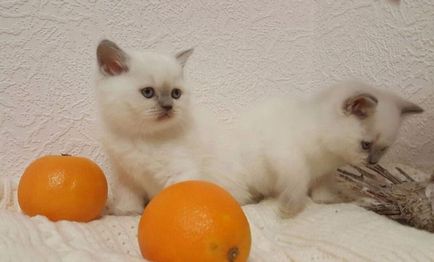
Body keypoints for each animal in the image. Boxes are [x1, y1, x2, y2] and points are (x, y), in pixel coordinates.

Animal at [94, 39, 199, 215]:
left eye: (176, 94)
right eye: (148, 92)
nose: (168, 107)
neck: (142, 136)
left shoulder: (181, 172)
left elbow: (178, 197)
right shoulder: (125, 175)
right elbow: (128, 196)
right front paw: (127, 212)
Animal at [207, 81, 424, 217]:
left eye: (384, 149)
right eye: (365, 145)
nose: (372, 162)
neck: (327, 153)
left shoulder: (324, 174)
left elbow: (324, 196)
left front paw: (342, 201)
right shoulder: (287, 156)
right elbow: (298, 181)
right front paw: (290, 206)